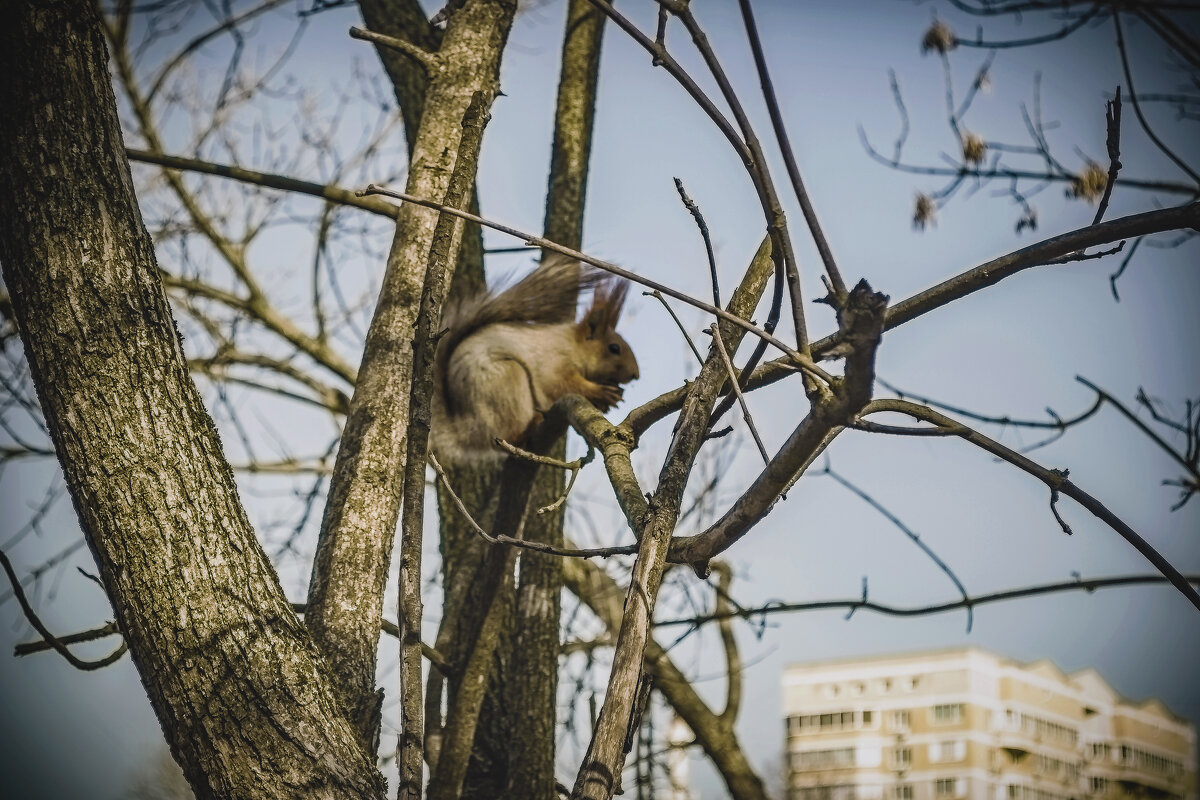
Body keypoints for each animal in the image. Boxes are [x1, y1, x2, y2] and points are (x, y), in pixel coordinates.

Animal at [429, 253, 638, 460]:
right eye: (614, 348)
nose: (636, 375)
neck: (573, 346)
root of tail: (467, 430)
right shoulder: (554, 361)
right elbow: (562, 384)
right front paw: (600, 391)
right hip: (507, 383)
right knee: (508, 435)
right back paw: (529, 427)